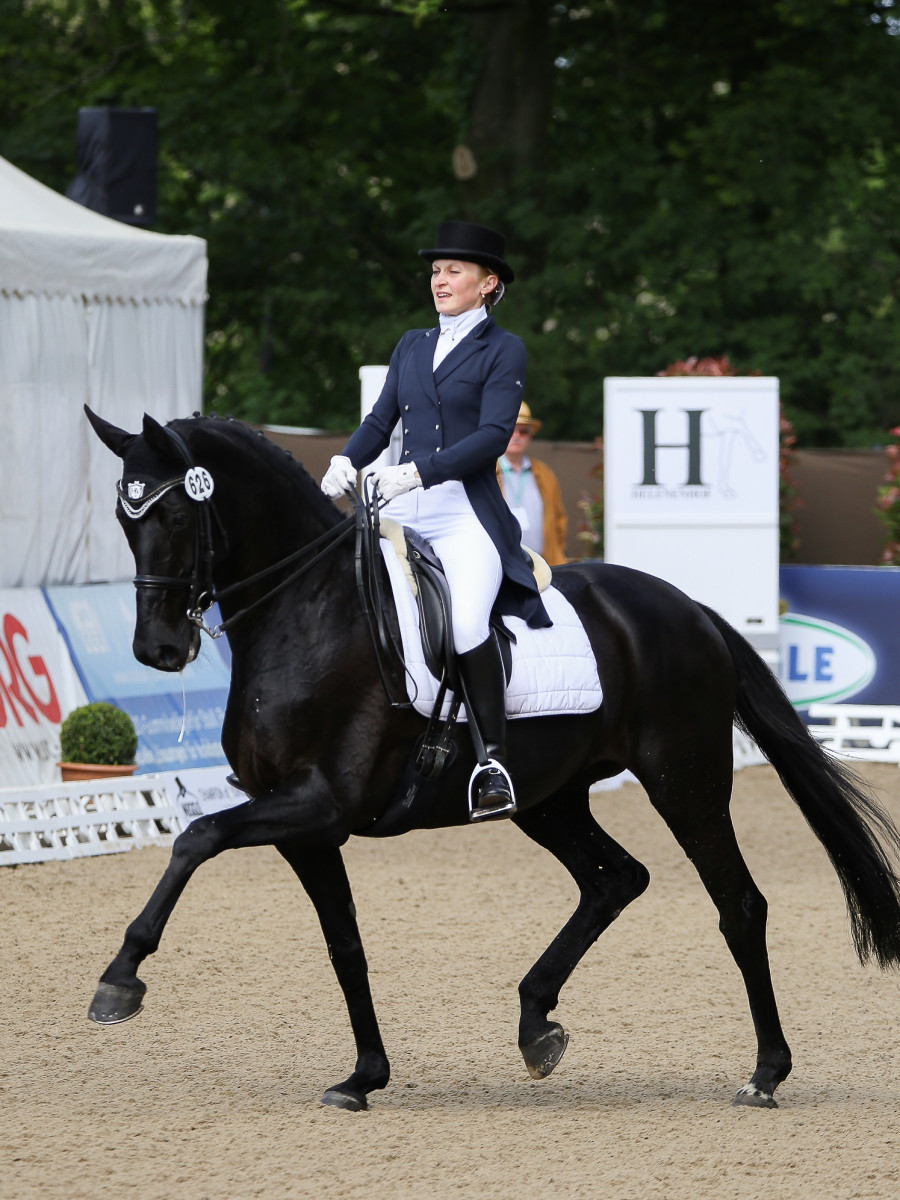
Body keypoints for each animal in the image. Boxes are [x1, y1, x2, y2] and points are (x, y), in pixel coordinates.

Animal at [86, 408, 900, 1108]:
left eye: (176, 515)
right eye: (125, 521)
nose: (157, 650)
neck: (308, 612)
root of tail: (690, 609)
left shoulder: (319, 804)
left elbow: (195, 838)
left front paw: (121, 978)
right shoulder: (306, 827)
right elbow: (344, 943)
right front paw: (364, 1076)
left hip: (685, 782)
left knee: (738, 905)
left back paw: (765, 1072)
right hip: (547, 799)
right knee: (615, 880)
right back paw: (536, 1022)